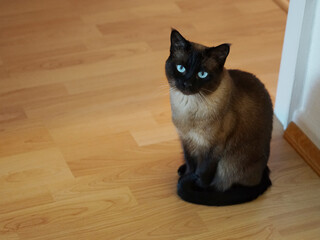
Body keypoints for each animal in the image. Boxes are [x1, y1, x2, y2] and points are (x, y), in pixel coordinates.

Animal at [165, 29, 272, 206]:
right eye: (181, 68)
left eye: (202, 74)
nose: (187, 84)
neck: (189, 107)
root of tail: (263, 172)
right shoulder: (186, 140)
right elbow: (191, 164)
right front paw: (187, 174)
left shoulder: (213, 148)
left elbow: (202, 173)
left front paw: (195, 188)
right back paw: (182, 171)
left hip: (228, 164)